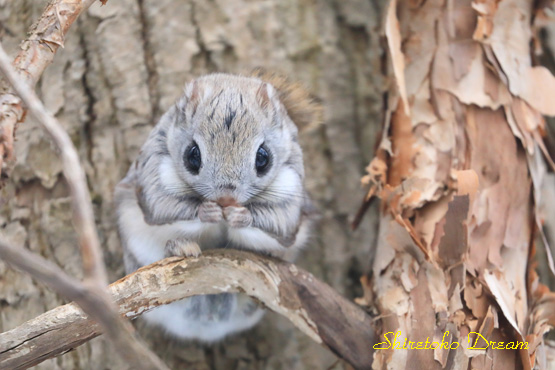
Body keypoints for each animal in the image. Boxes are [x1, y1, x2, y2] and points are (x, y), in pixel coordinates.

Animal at [114, 68, 322, 342]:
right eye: (192, 155)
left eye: (263, 157)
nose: (226, 199)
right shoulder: (153, 173)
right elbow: (164, 206)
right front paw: (206, 211)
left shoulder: (291, 187)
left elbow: (280, 222)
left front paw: (240, 216)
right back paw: (178, 247)